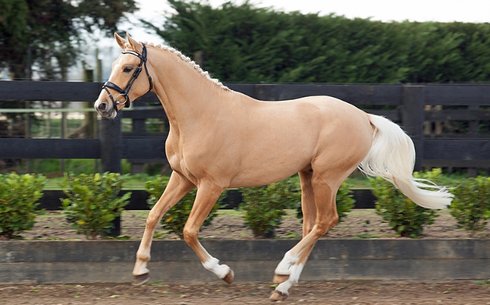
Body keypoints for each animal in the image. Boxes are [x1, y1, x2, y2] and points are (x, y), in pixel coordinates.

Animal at [94, 32, 454, 300]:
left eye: (128, 68)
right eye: (114, 65)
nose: (102, 106)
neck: (200, 115)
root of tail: (364, 117)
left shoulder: (211, 185)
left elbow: (189, 231)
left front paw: (225, 273)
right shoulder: (182, 178)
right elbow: (153, 216)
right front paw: (140, 271)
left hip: (327, 178)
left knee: (326, 222)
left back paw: (283, 268)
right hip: (307, 176)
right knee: (312, 225)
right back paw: (282, 287)